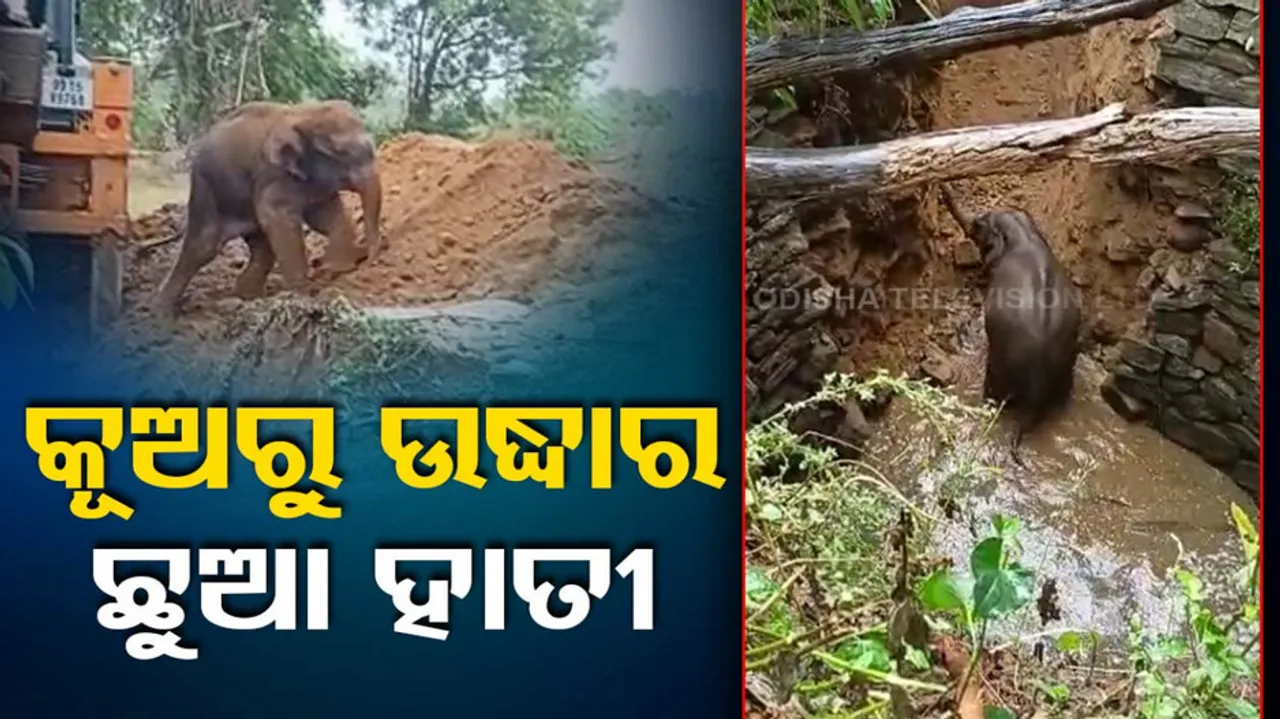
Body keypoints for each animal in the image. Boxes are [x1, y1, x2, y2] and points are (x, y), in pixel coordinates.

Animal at [148, 99, 383, 318]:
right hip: (207, 188)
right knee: (203, 247)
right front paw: (303, 295)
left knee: (261, 248)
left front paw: (340, 268)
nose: (369, 261)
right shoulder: (272, 175)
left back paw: (245, 297)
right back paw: (160, 312)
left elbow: (325, 215)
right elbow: (280, 220)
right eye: (341, 152)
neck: (304, 113)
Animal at [939, 184, 1082, 462]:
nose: (942, 187)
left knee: (993, 392)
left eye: (978, 225)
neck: (1024, 233)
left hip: (999, 365)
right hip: (1066, 369)